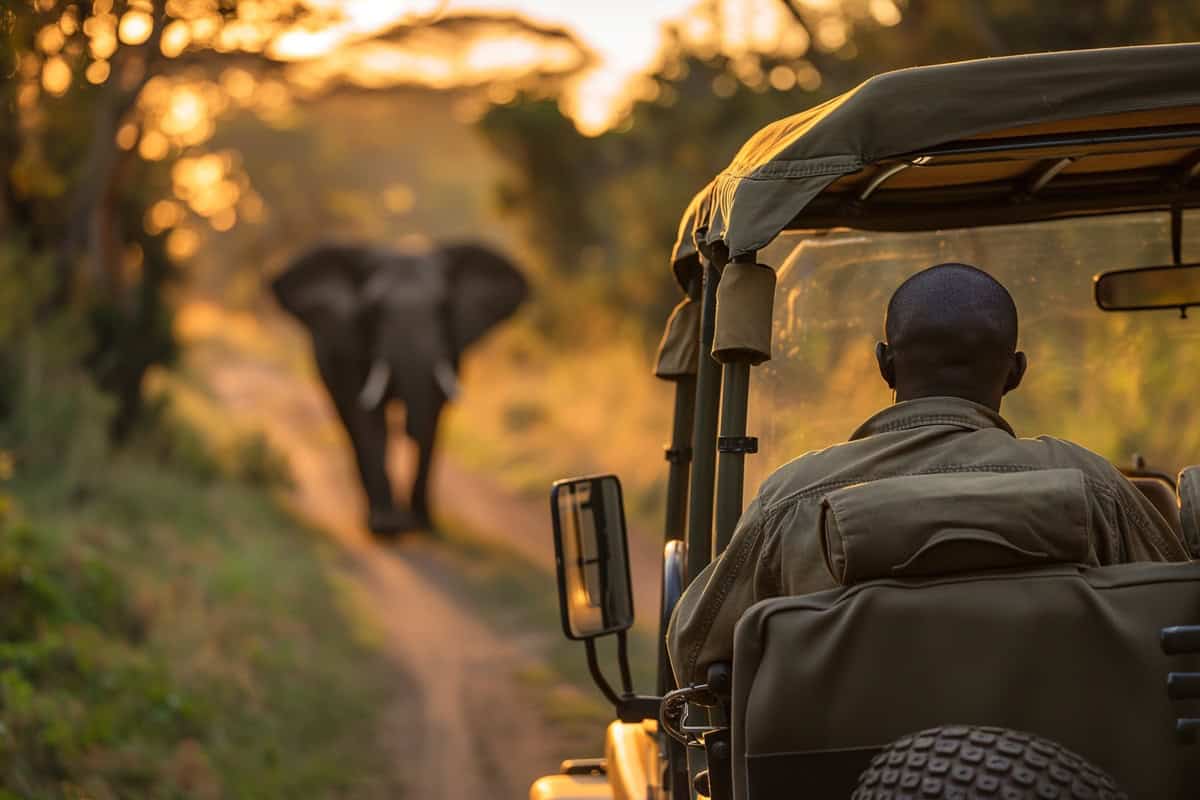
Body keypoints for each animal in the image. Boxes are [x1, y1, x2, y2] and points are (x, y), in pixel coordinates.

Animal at [276, 241, 530, 534]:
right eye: (372, 311)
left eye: (444, 307)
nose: (405, 428)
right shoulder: (350, 346)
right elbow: (366, 417)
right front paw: (386, 526)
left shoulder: (450, 351)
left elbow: (432, 419)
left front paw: (421, 523)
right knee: (350, 422)